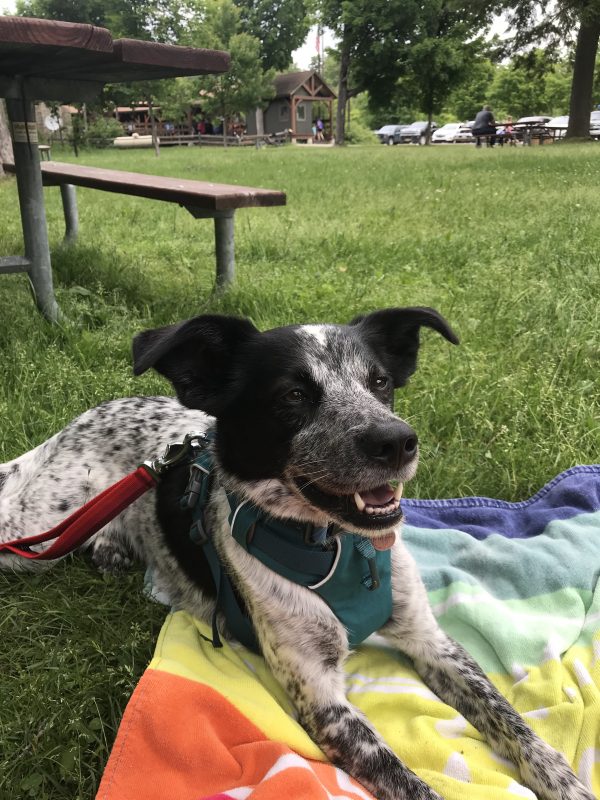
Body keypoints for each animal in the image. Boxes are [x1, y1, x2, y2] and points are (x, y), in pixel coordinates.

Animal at [0, 308, 592, 800]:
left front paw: (565, 783)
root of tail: (79, 421)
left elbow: (512, 721)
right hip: (37, 530)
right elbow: (410, 783)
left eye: (380, 382)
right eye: (292, 395)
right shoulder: (323, 696)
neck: (340, 548)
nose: (398, 441)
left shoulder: (432, 642)